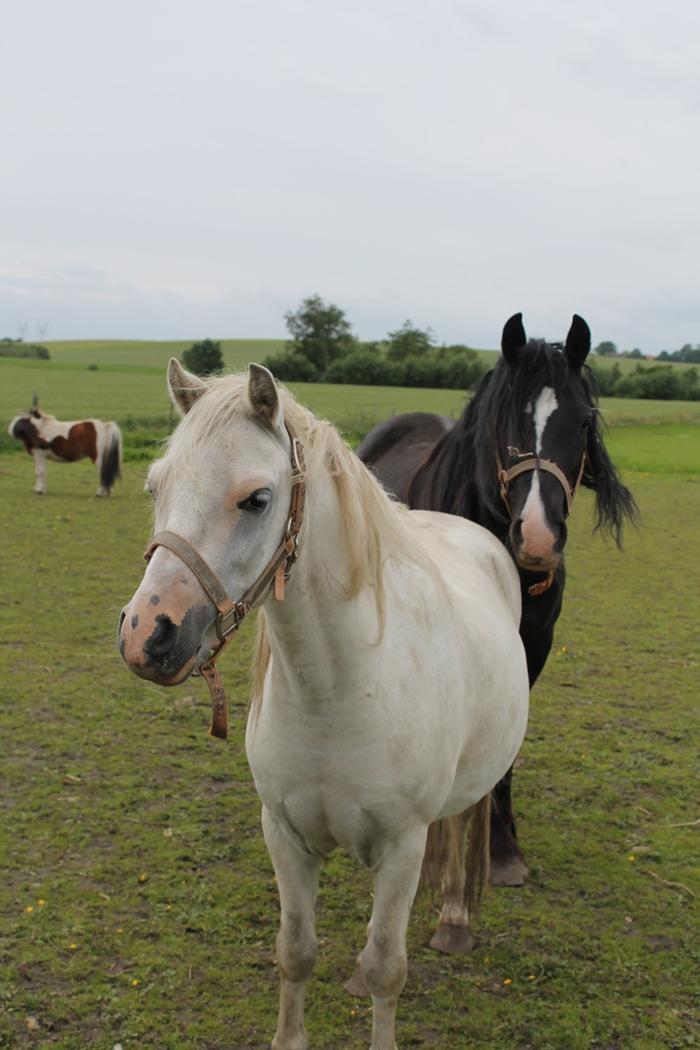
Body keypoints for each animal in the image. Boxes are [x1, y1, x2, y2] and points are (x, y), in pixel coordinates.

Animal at [120, 361, 528, 1050]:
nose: (146, 635)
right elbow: (296, 953)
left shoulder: (402, 846)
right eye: (155, 486)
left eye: (256, 499)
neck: (336, 690)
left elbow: (387, 967)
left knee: (461, 831)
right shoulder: (284, 836)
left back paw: (453, 919)